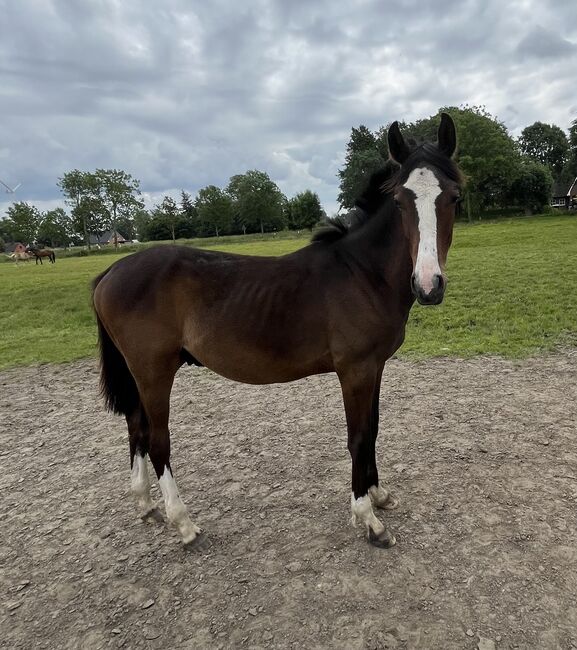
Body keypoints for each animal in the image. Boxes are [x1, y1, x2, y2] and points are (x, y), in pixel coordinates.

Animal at [92, 112, 462, 548]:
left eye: (453, 197)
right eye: (402, 201)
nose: (428, 285)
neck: (362, 274)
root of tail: (113, 270)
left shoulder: (375, 367)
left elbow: (372, 430)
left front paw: (379, 495)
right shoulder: (354, 370)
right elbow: (357, 436)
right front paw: (368, 519)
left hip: (140, 373)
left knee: (135, 426)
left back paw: (146, 505)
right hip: (154, 371)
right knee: (156, 439)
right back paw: (183, 522)